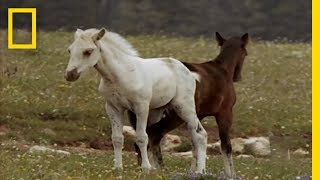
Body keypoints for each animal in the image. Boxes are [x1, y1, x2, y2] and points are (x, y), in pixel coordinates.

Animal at [64, 28, 208, 173]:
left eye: (88, 51)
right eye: (70, 50)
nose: (70, 75)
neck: (120, 75)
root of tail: (188, 71)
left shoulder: (141, 107)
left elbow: (141, 137)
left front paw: (146, 167)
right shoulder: (113, 108)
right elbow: (117, 139)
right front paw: (118, 167)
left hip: (184, 107)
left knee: (199, 135)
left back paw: (199, 171)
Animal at [129, 32, 249, 177]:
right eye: (245, 53)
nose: (238, 77)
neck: (222, 70)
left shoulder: (198, 116)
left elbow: (194, 144)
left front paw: (193, 170)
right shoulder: (225, 113)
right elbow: (226, 146)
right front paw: (230, 174)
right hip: (172, 117)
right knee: (153, 138)